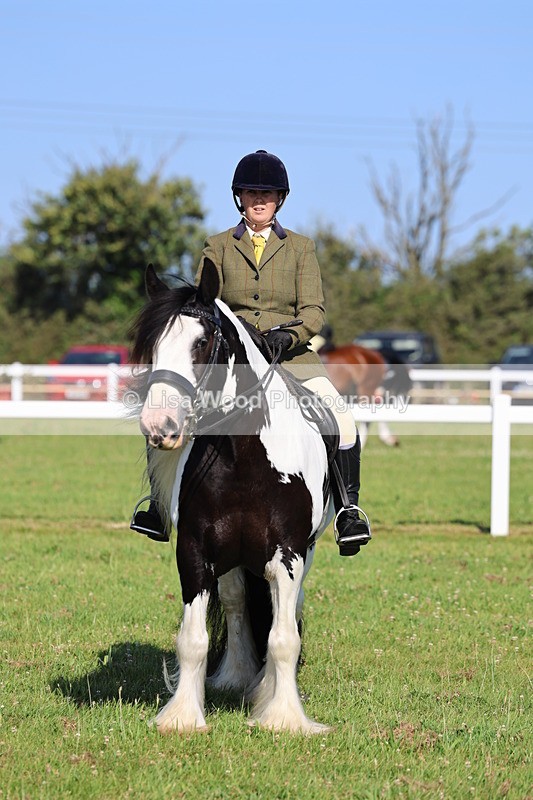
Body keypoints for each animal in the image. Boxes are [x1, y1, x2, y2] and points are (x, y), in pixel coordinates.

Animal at [130, 259, 335, 734]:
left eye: (202, 342)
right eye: (153, 345)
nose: (159, 425)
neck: (245, 457)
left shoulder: (288, 553)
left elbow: (283, 637)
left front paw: (283, 717)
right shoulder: (194, 551)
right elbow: (193, 639)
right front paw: (183, 717)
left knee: (287, 611)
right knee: (238, 603)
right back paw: (238, 677)